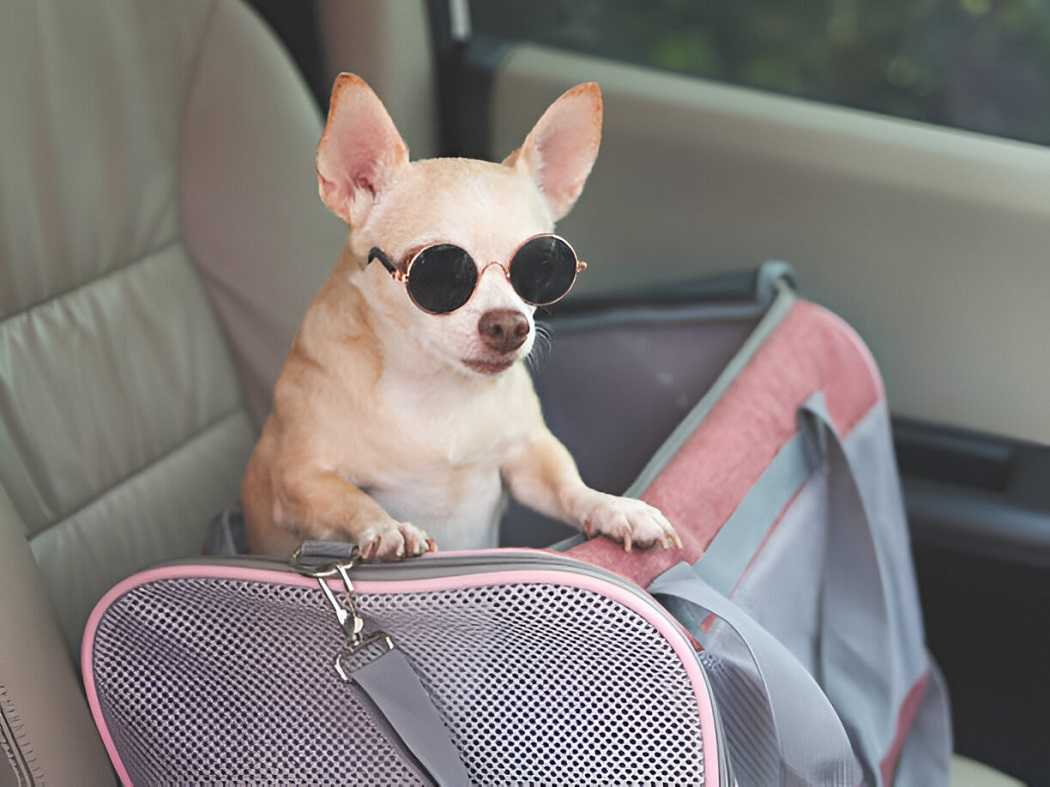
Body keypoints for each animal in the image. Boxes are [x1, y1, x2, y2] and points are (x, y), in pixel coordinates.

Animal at [241, 72, 680, 562]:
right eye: (440, 273)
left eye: (545, 266)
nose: (509, 325)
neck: (436, 387)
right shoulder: (298, 481)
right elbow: (351, 499)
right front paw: (388, 527)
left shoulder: (529, 456)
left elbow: (570, 486)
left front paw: (617, 508)